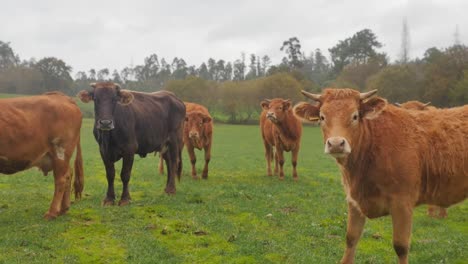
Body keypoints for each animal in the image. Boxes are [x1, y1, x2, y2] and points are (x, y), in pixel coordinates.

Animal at [0, 92, 83, 220]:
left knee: (61, 179)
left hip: (60, 151)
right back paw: (63, 209)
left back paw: (52, 213)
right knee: (68, 174)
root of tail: (62, 96)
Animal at [296, 89, 468, 264]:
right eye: (322, 117)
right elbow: (351, 238)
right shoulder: (353, 201)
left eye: (355, 116)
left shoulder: (402, 203)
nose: (336, 144)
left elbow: (401, 246)